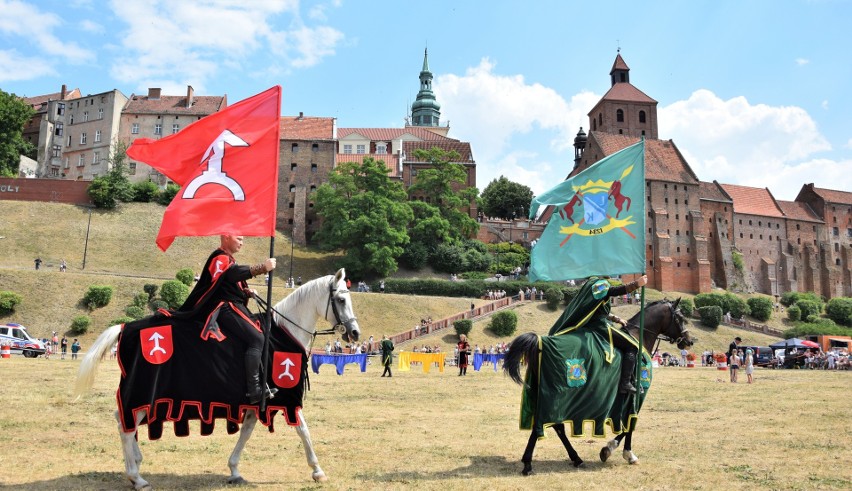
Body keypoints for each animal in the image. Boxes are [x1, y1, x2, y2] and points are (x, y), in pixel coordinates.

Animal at [74, 270, 362, 490]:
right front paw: (317, 470)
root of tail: (125, 327)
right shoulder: (286, 395)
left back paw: (136, 463)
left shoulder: (257, 401)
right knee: (126, 426)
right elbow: (303, 429)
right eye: (340, 299)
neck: (283, 330)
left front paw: (234, 470)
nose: (355, 333)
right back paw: (137, 477)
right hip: (144, 394)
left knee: (123, 420)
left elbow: (246, 432)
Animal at [506, 300, 692, 476]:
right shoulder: (637, 397)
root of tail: (540, 342)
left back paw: (572, 459)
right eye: (680, 318)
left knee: (554, 427)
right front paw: (618, 451)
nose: (688, 341)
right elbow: (630, 425)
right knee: (546, 425)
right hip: (555, 398)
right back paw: (530, 464)